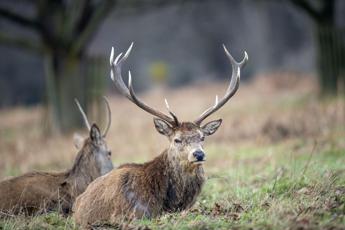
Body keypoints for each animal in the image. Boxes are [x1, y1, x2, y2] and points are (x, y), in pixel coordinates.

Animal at [72, 42, 246, 226]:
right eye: (177, 140)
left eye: (202, 137)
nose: (198, 154)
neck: (170, 202)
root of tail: (77, 203)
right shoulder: (135, 215)